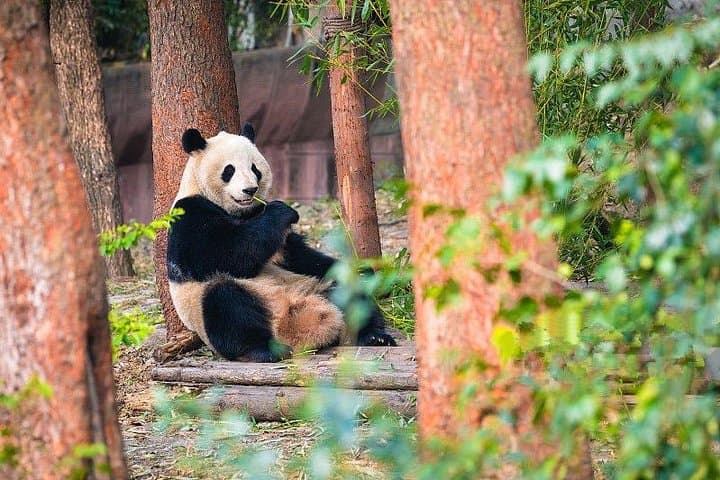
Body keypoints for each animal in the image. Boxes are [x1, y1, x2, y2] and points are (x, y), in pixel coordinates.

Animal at [167, 124, 396, 362]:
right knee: (226, 302)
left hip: (314, 286)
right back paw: (264, 349)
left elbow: (298, 255)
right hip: (215, 306)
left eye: (254, 168)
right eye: (229, 170)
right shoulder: (189, 215)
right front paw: (283, 211)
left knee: (350, 292)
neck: (240, 212)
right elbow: (224, 255)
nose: (250, 190)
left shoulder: (277, 236)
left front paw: (364, 269)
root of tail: (294, 328)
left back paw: (373, 335)